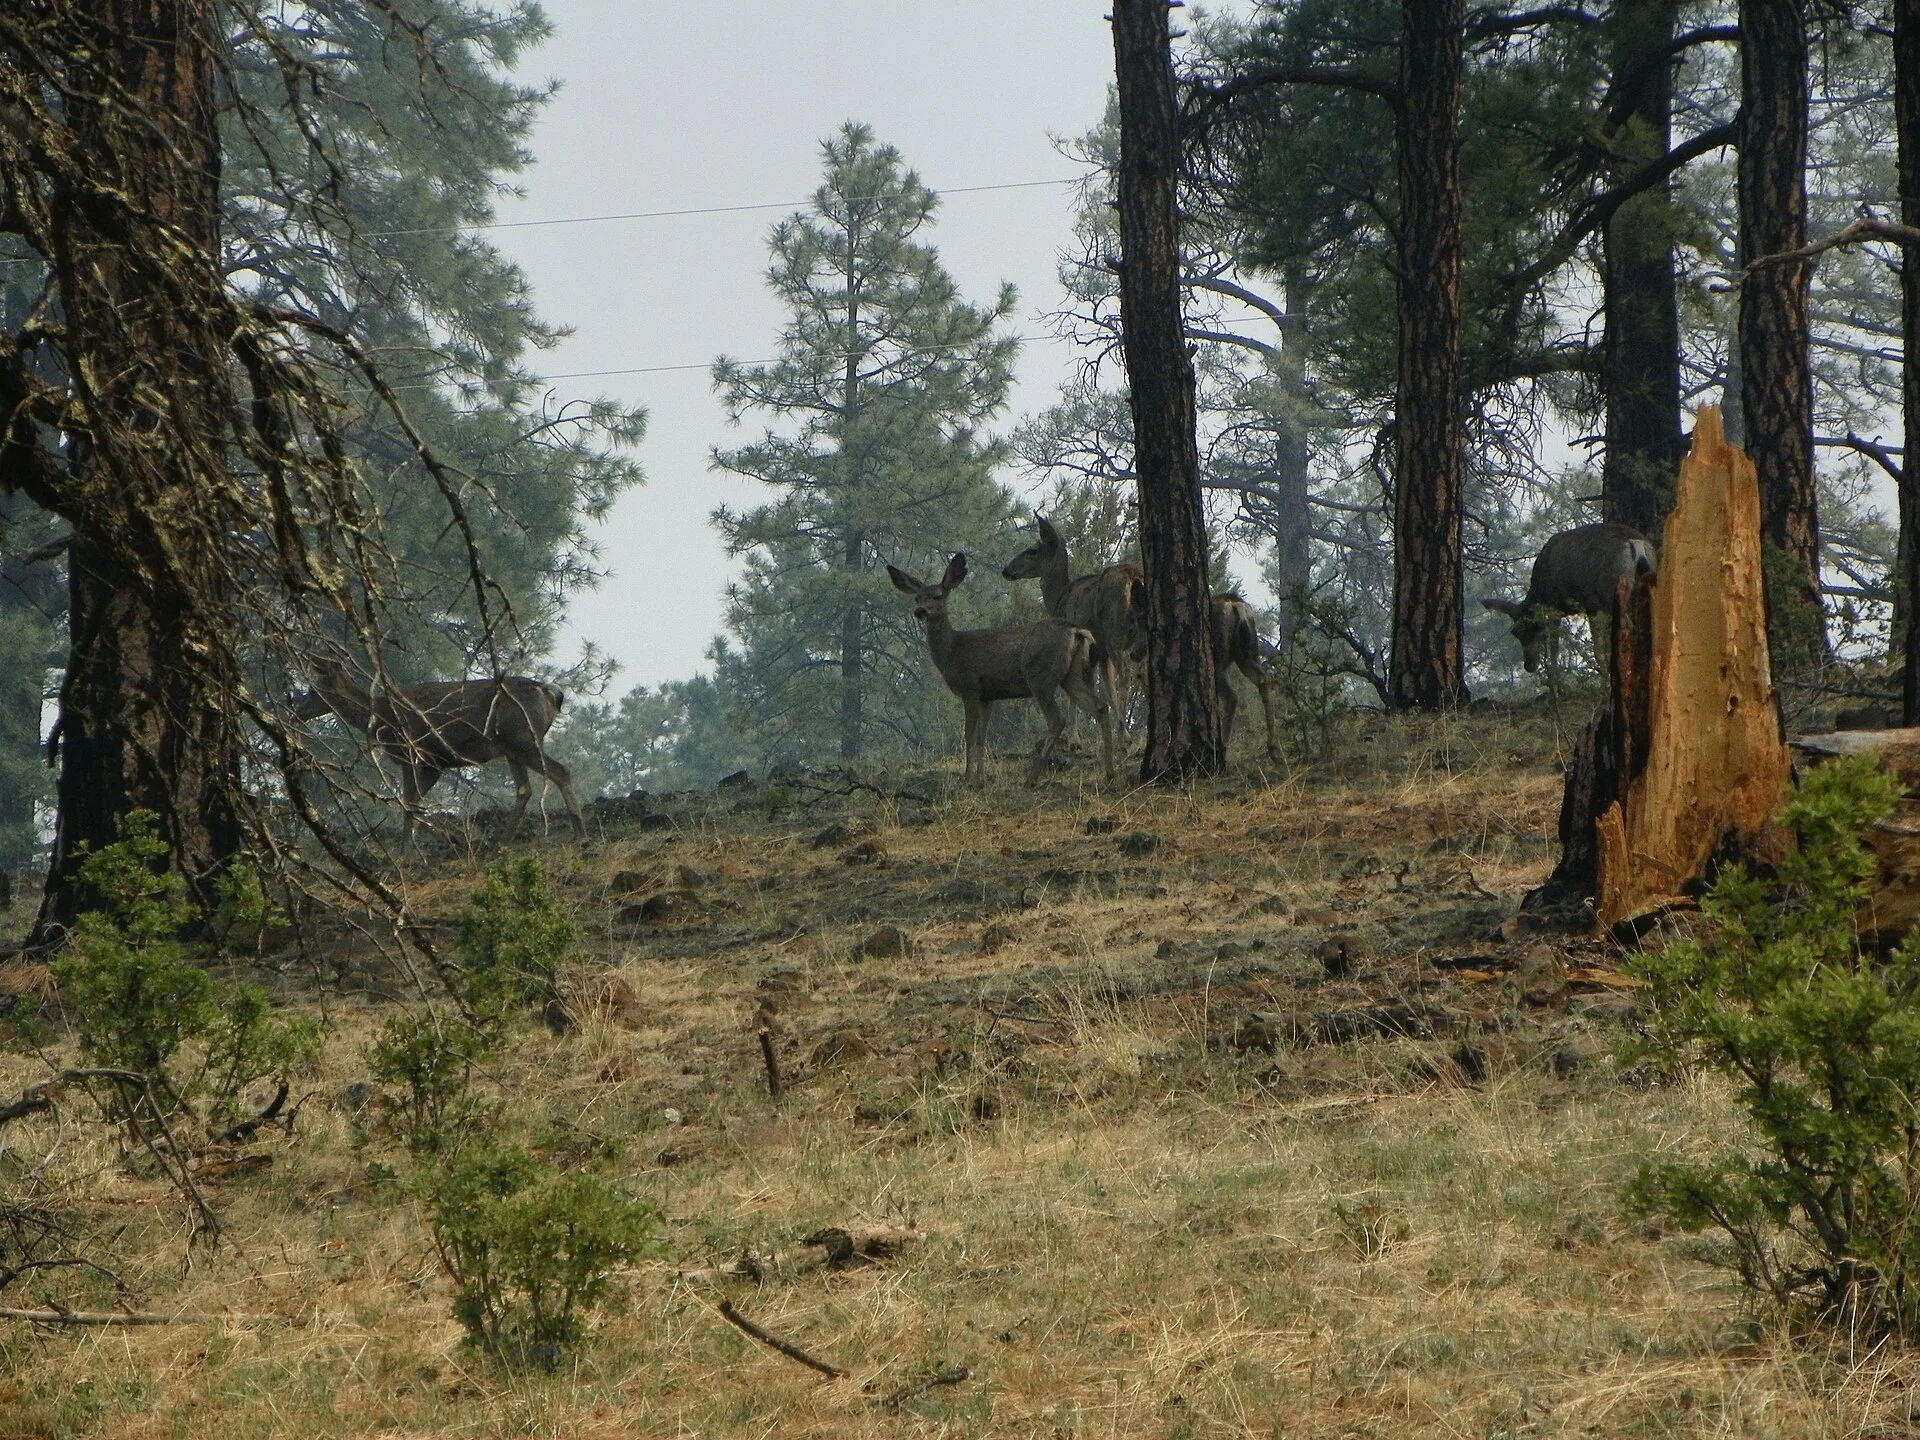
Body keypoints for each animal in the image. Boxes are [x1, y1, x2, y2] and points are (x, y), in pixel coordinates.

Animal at [294, 655, 586, 845]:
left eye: (313, 688)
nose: (297, 710)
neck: (380, 718)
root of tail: (551, 692)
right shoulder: (435, 763)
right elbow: (415, 805)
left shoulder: (416, 755)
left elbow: (409, 804)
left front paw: (408, 853)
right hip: (512, 746)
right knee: (524, 789)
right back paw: (502, 843)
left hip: (522, 738)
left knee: (560, 771)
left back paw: (579, 835)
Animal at [888, 553, 1114, 785]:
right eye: (917, 598)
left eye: (937, 596)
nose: (920, 611)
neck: (952, 651)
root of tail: (1077, 631)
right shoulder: (988, 696)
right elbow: (982, 737)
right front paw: (980, 779)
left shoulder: (970, 687)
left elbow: (969, 734)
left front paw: (968, 779)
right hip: (1072, 674)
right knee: (1100, 707)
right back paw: (1110, 773)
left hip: (1040, 675)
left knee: (1056, 719)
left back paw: (1032, 777)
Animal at [1482, 522, 1659, 673]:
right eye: (1516, 633)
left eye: (1536, 629)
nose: (1529, 666)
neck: (1540, 589)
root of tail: (1636, 544)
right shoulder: (1592, 606)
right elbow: (1598, 648)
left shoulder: (1556, 603)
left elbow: (1556, 646)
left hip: (1611, 591)